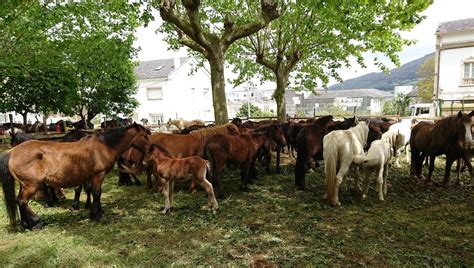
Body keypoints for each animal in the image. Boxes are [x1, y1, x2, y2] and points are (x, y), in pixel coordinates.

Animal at [0, 122, 149, 229]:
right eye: (145, 136)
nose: (151, 149)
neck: (104, 146)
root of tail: (12, 152)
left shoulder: (90, 177)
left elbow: (90, 192)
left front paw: (94, 211)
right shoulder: (98, 175)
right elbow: (97, 193)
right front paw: (97, 214)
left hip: (25, 184)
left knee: (19, 200)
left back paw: (25, 224)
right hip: (31, 185)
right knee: (22, 201)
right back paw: (36, 223)